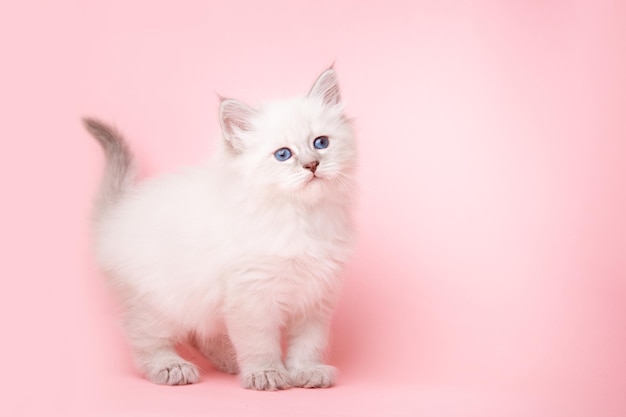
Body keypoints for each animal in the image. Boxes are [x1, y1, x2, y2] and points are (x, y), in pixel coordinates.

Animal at [83, 68, 356, 390]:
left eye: (321, 143)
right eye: (283, 155)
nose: (312, 165)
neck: (301, 217)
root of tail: (117, 212)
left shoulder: (315, 296)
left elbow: (307, 343)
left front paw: (306, 372)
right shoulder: (251, 296)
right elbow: (259, 343)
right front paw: (265, 373)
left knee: (202, 335)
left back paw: (230, 361)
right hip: (160, 302)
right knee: (143, 337)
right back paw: (172, 367)